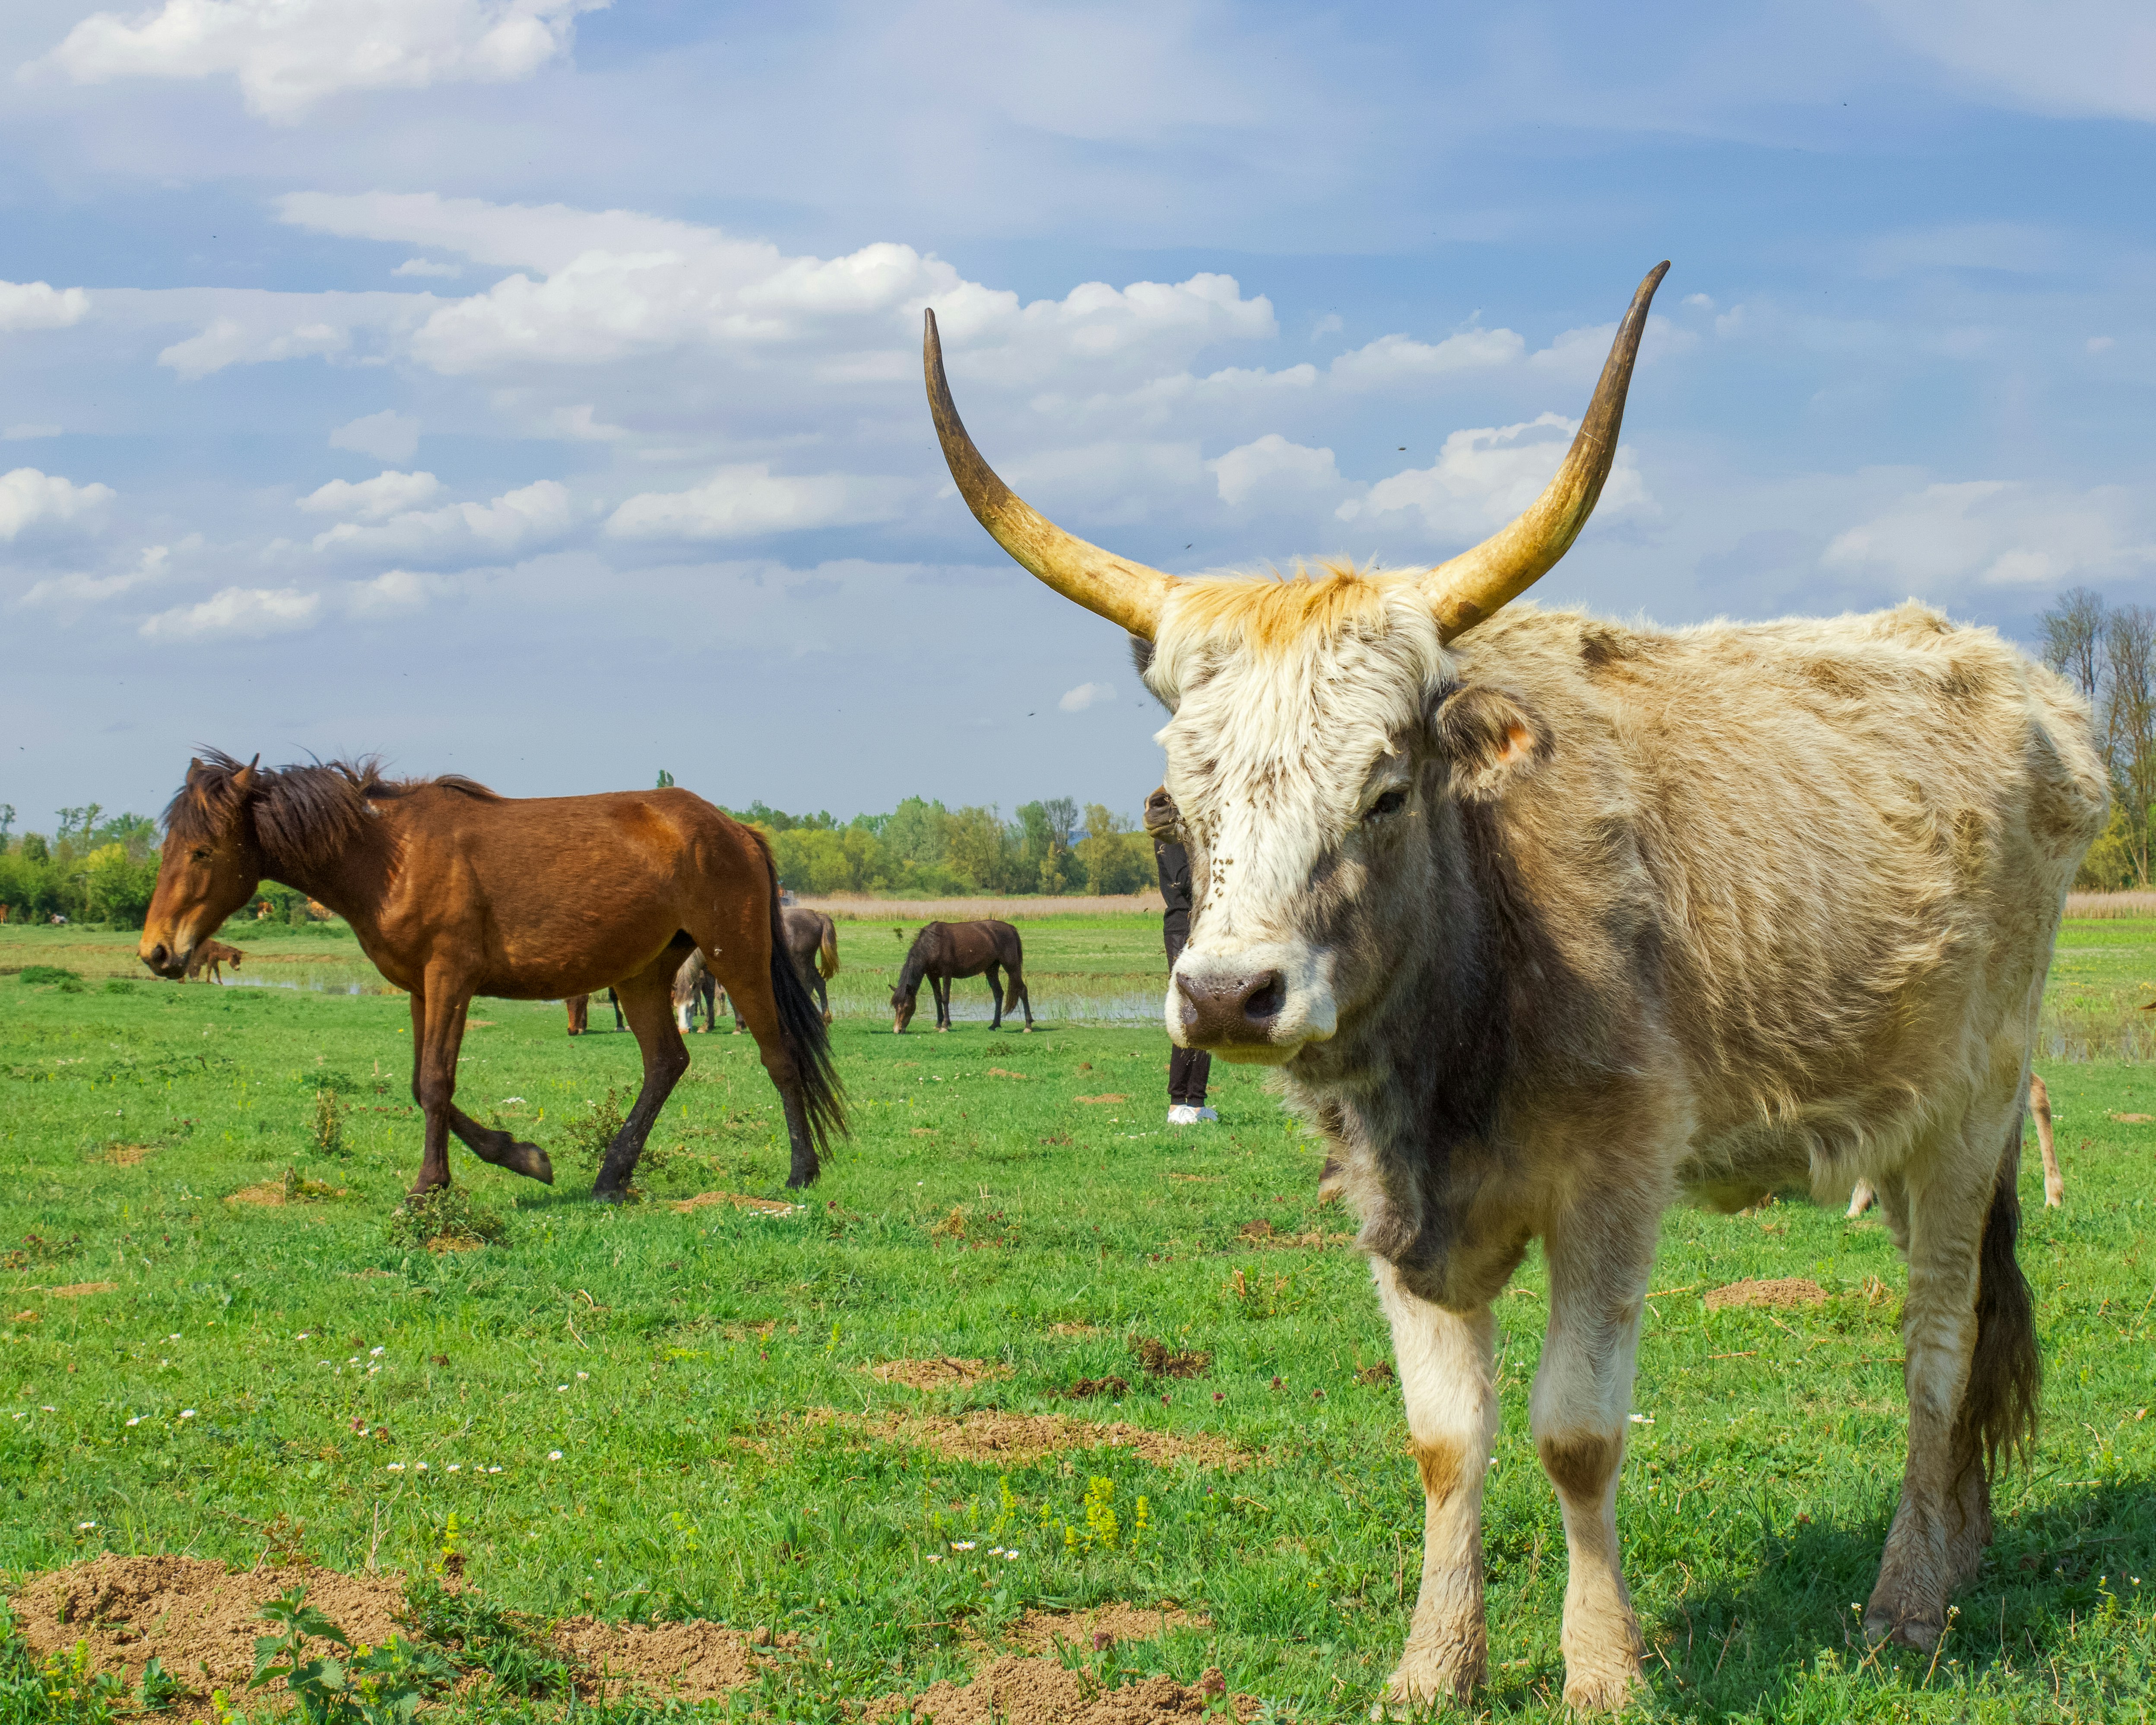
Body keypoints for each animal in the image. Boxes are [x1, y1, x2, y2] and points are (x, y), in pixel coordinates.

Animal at [919, 264, 2108, 1712]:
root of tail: (2022, 683)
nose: (1227, 996)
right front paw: (1433, 1663)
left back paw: (1906, 1604)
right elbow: (1446, 1439)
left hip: (1971, 1108)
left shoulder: (1614, 1176)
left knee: (1937, 1336)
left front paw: (1603, 1669)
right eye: (1184, 796)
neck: (1468, 993)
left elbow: (1576, 1432)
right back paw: (1958, 1547)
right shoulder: (1396, 1207)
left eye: (1383, 788)